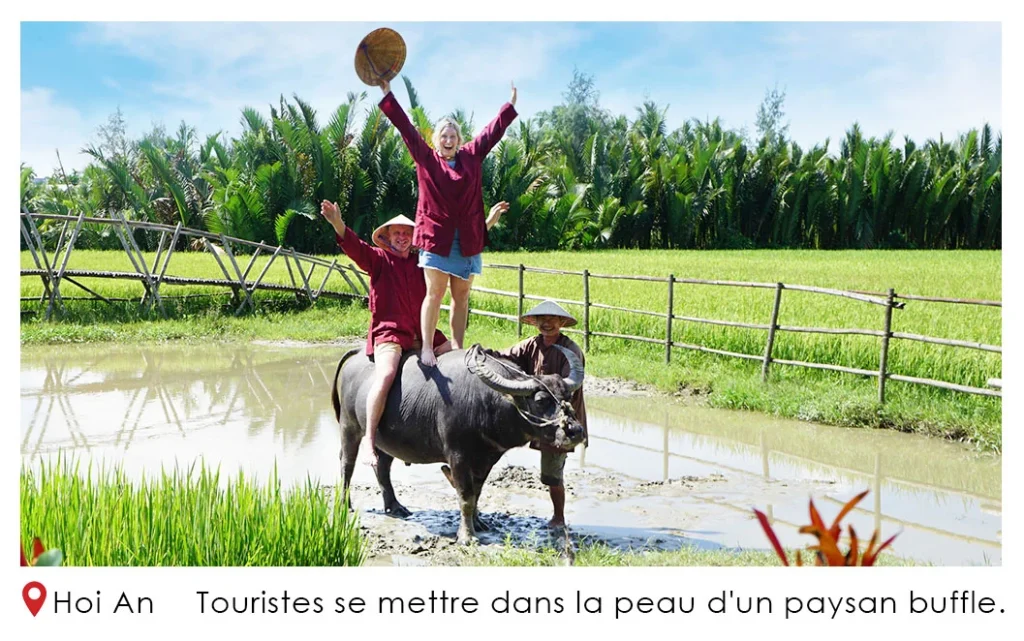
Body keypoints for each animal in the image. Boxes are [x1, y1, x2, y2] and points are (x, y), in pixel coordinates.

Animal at [329, 342, 585, 540]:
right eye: (540, 401)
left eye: (567, 396)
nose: (575, 430)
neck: (485, 402)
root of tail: (357, 354)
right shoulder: (457, 456)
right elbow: (465, 495)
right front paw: (467, 535)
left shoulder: (487, 458)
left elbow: (477, 492)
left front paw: (478, 523)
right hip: (349, 427)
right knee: (347, 463)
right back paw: (344, 504)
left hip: (386, 440)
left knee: (382, 466)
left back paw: (395, 506)